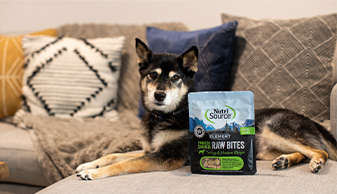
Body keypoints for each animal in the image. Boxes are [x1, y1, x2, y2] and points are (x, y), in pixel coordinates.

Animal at [76, 38, 336, 180]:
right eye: (153, 75)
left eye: (175, 78)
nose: (159, 95)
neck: (169, 115)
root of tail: (312, 121)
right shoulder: (152, 149)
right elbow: (114, 155)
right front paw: (88, 165)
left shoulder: (167, 156)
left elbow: (123, 164)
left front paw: (94, 173)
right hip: (265, 150)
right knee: (304, 151)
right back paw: (285, 161)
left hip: (276, 129)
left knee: (320, 152)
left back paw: (316, 163)